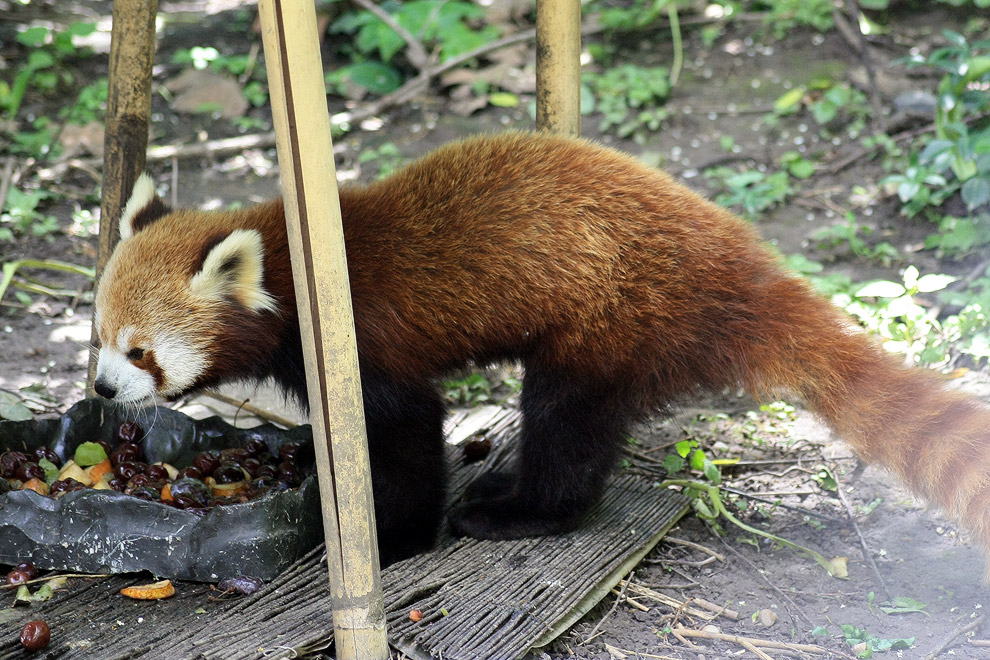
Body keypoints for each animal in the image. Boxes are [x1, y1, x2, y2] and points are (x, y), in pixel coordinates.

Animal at [95, 133, 990, 568]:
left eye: (140, 353)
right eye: (98, 340)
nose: (101, 392)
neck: (296, 267)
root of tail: (738, 265)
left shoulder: (369, 349)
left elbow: (408, 434)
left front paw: (395, 538)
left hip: (615, 321)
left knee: (568, 426)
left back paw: (521, 510)